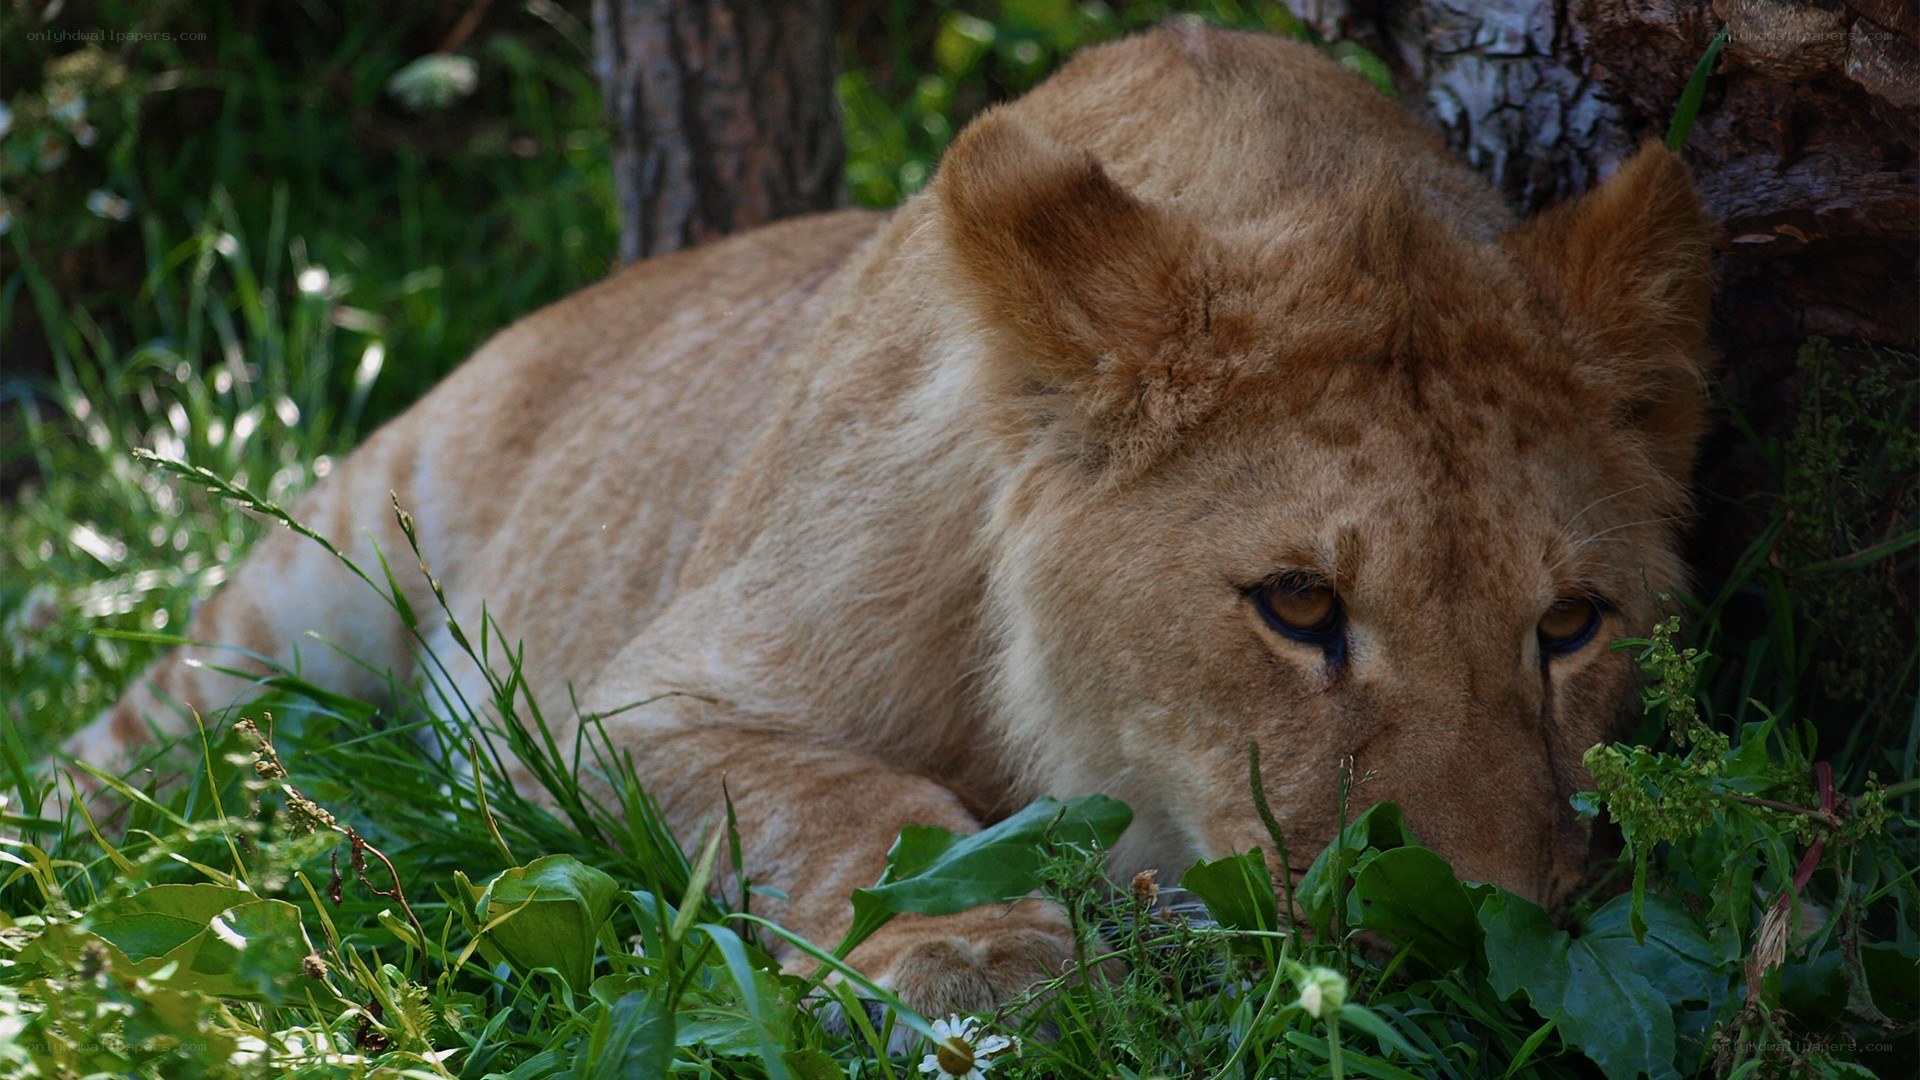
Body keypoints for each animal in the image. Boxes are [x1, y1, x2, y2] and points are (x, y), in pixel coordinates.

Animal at [59, 25, 1712, 1014]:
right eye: (1299, 606)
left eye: (1572, 625)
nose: (1468, 942)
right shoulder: (602, 715)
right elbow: (855, 796)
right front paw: (975, 949)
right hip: (308, 576)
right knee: (116, 741)